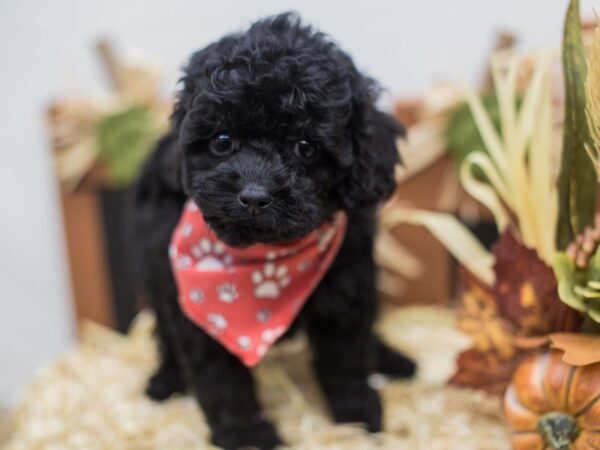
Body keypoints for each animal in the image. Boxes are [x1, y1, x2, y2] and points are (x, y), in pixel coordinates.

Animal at [132, 13, 414, 450]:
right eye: (222, 140)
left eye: (306, 147)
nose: (254, 196)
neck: (266, 261)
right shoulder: (199, 316)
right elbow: (221, 381)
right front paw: (245, 435)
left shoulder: (347, 289)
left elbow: (347, 357)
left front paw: (357, 414)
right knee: (163, 330)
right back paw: (165, 380)